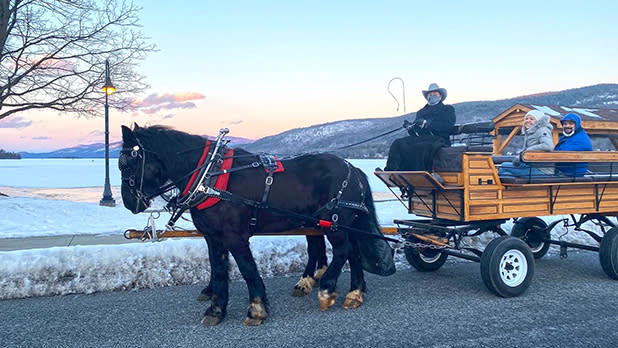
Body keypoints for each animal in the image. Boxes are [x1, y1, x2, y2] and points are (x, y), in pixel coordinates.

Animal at [118, 125, 392, 326]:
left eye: (128, 163)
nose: (129, 202)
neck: (209, 177)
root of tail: (353, 168)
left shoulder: (235, 236)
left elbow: (248, 269)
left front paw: (257, 309)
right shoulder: (213, 237)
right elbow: (219, 271)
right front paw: (216, 310)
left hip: (334, 222)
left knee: (344, 250)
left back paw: (326, 289)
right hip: (338, 223)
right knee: (352, 251)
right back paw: (353, 293)